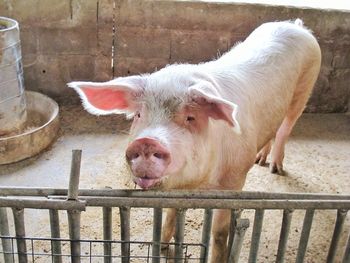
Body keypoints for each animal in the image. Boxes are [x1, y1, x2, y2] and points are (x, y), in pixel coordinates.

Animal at [67, 19, 320, 262]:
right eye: (139, 115)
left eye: (190, 118)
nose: (147, 141)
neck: (198, 184)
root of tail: (295, 26)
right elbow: (170, 214)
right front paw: (162, 246)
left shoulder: (235, 179)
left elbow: (219, 233)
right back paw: (261, 160)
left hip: (305, 88)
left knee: (285, 127)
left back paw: (275, 169)